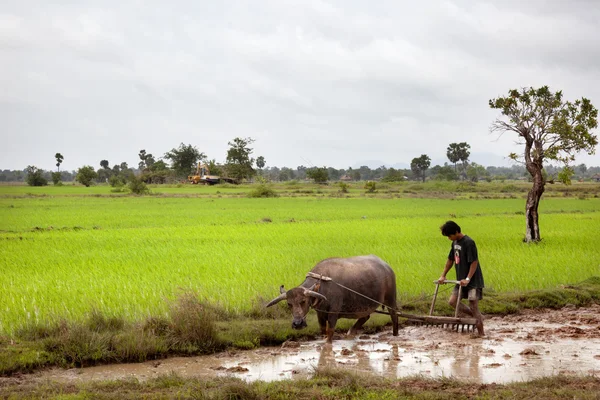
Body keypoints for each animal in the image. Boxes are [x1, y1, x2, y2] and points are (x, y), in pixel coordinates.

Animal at [266, 255, 398, 342]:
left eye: (303, 301)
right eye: (289, 304)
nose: (298, 324)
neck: (321, 287)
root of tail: (387, 267)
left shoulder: (333, 313)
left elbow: (330, 332)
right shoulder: (320, 313)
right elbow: (323, 330)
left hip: (391, 299)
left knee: (394, 316)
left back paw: (395, 335)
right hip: (364, 305)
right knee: (365, 316)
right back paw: (351, 332)